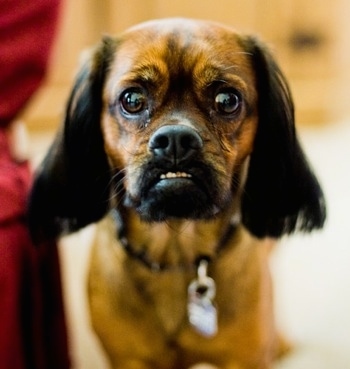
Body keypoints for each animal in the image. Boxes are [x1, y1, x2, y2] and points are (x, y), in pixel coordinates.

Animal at [28, 18, 326, 368]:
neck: (174, 252)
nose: (175, 139)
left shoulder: (244, 358)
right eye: (132, 100)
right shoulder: (129, 359)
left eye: (227, 100)